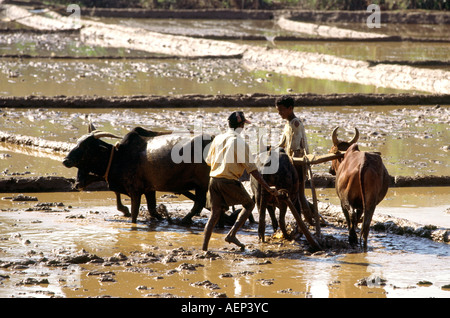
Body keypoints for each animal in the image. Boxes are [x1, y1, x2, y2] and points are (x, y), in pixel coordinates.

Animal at [62, 125, 214, 225]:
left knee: (200, 203)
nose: (65, 160)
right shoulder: (149, 190)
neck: (118, 156)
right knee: (199, 203)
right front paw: (164, 218)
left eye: (86, 146)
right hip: (200, 186)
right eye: (77, 142)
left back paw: (184, 220)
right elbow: (152, 210)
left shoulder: (135, 191)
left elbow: (134, 215)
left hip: (203, 184)